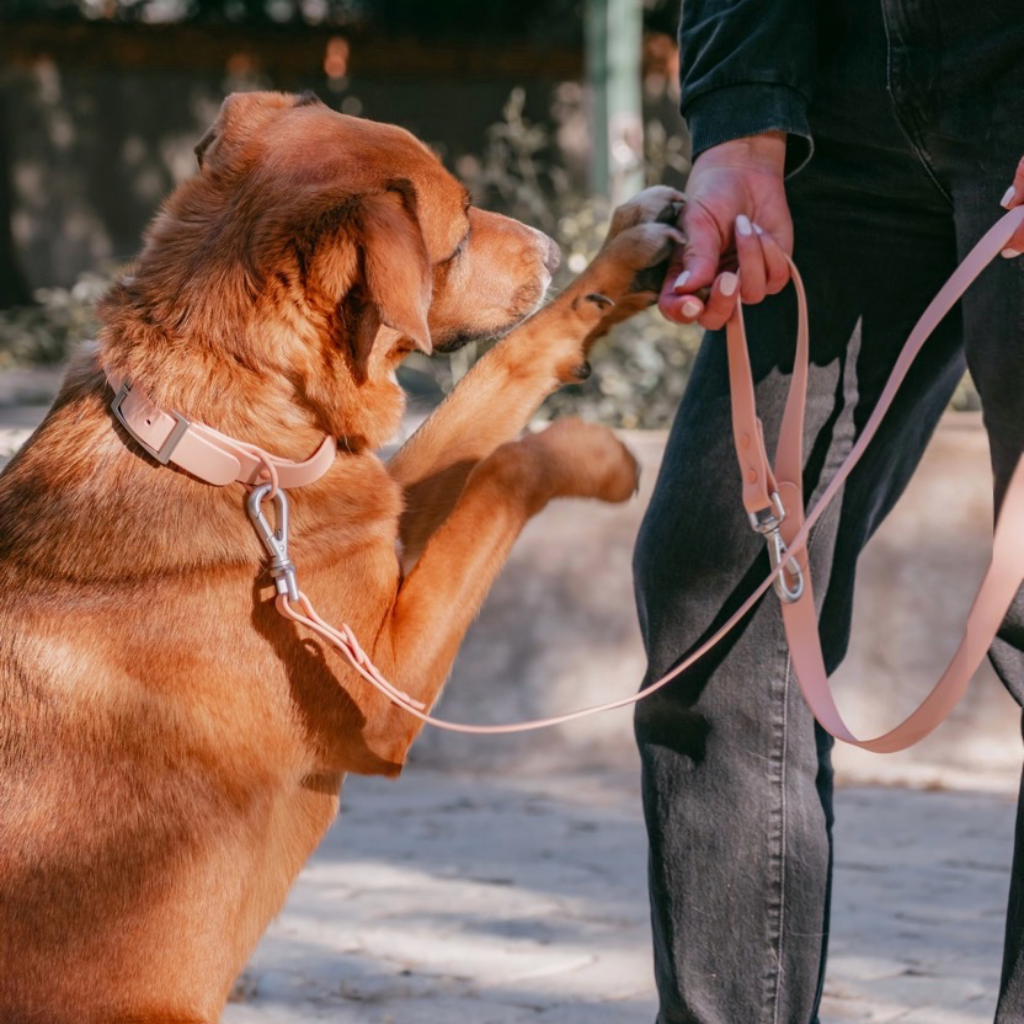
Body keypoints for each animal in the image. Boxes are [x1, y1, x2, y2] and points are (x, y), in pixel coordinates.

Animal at [0, 92, 684, 1019]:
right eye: (460, 226)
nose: (551, 249)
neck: (220, 445)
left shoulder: (369, 514)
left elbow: (501, 373)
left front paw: (621, 265)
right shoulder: (387, 689)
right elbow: (504, 469)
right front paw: (592, 455)